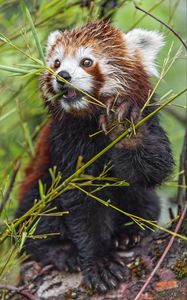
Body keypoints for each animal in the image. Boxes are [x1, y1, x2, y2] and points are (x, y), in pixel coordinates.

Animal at [16, 21, 173, 292]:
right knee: (37, 214)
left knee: (144, 199)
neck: (90, 117)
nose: (63, 76)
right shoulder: (66, 140)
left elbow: (154, 167)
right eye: (56, 62)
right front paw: (99, 261)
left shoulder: (148, 114)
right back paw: (60, 250)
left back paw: (128, 233)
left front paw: (123, 127)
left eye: (86, 61)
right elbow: (83, 200)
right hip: (38, 186)